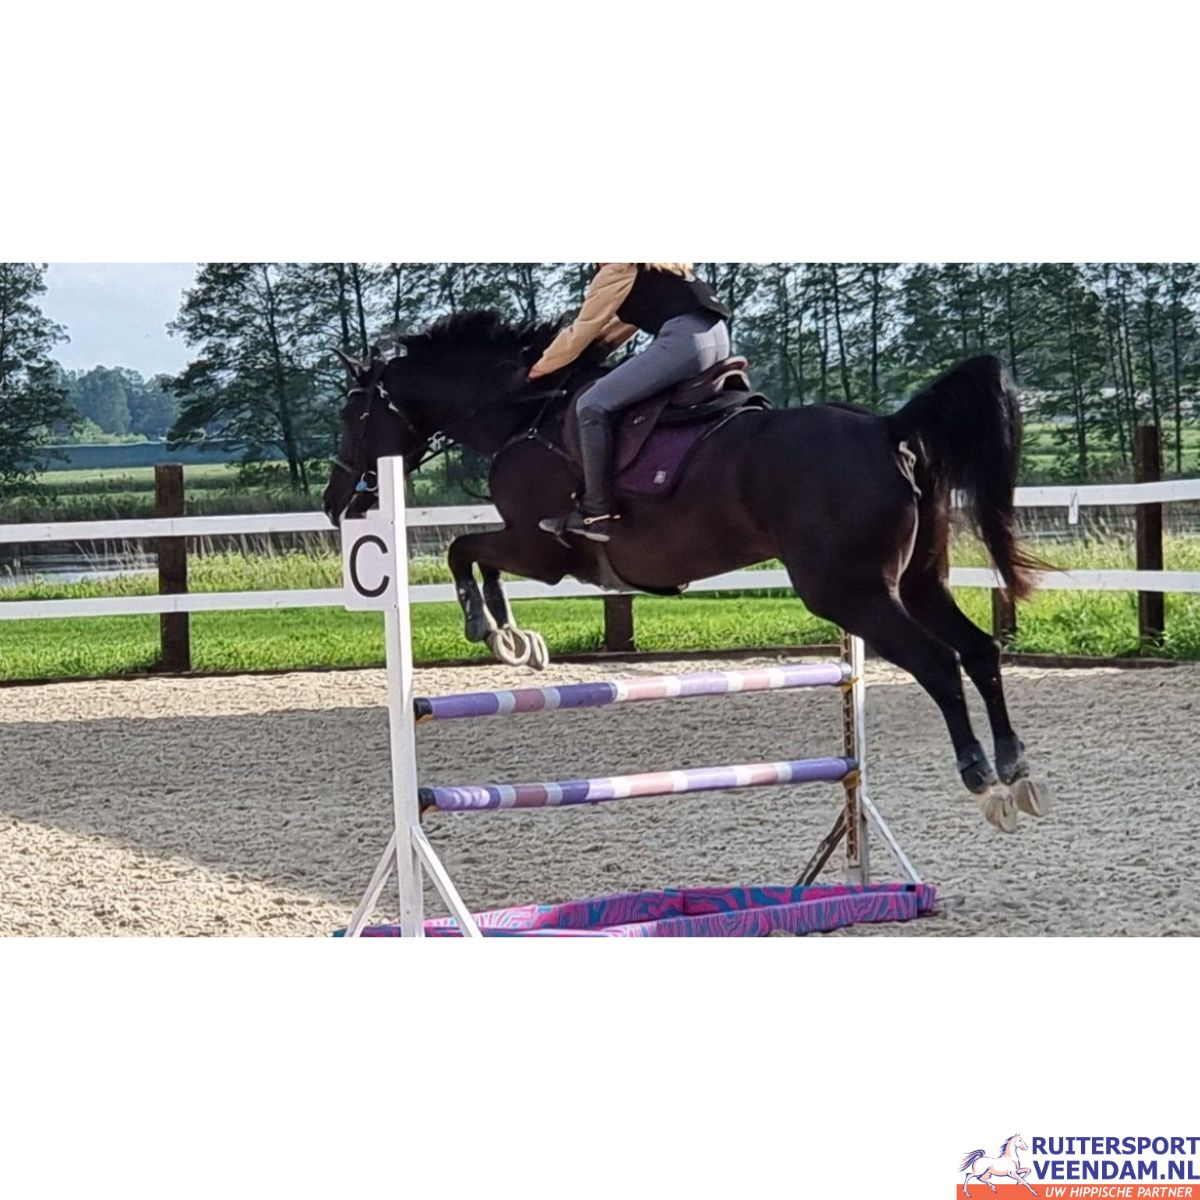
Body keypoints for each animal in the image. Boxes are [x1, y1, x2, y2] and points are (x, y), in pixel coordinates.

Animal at [322, 310, 1051, 832]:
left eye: (353, 413)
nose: (335, 503)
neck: (520, 419)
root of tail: (887, 428)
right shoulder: (534, 551)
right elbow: (469, 552)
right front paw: (515, 638)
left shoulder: (541, 550)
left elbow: (462, 551)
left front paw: (498, 633)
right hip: (917, 583)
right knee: (979, 652)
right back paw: (1014, 767)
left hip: (851, 592)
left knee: (939, 664)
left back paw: (981, 777)